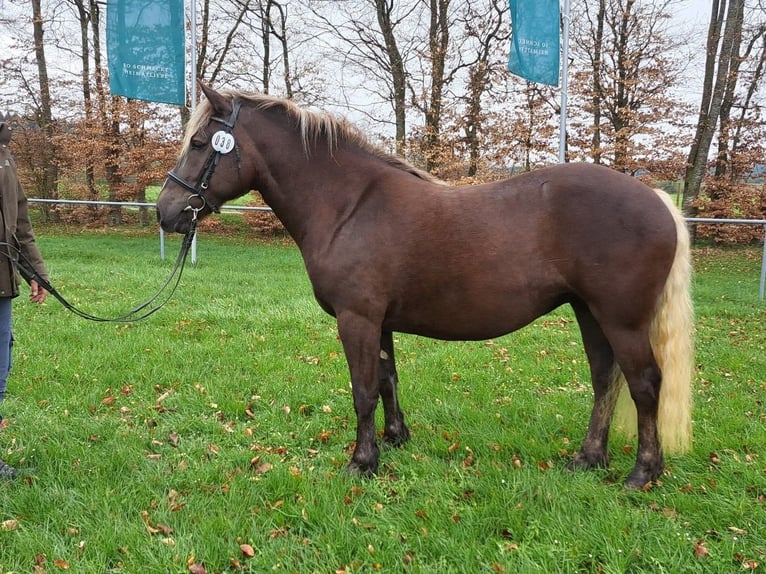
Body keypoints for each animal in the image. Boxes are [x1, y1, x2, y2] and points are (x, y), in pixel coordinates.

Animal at [157, 83, 694, 489]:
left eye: (200, 143)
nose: (166, 212)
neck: (349, 204)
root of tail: (655, 197)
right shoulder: (379, 322)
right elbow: (387, 379)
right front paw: (396, 439)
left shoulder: (357, 319)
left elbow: (363, 390)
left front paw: (362, 462)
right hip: (589, 312)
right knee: (605, 379)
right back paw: (588, 458)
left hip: (621, 319)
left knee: (645, 384)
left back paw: (642, 473)